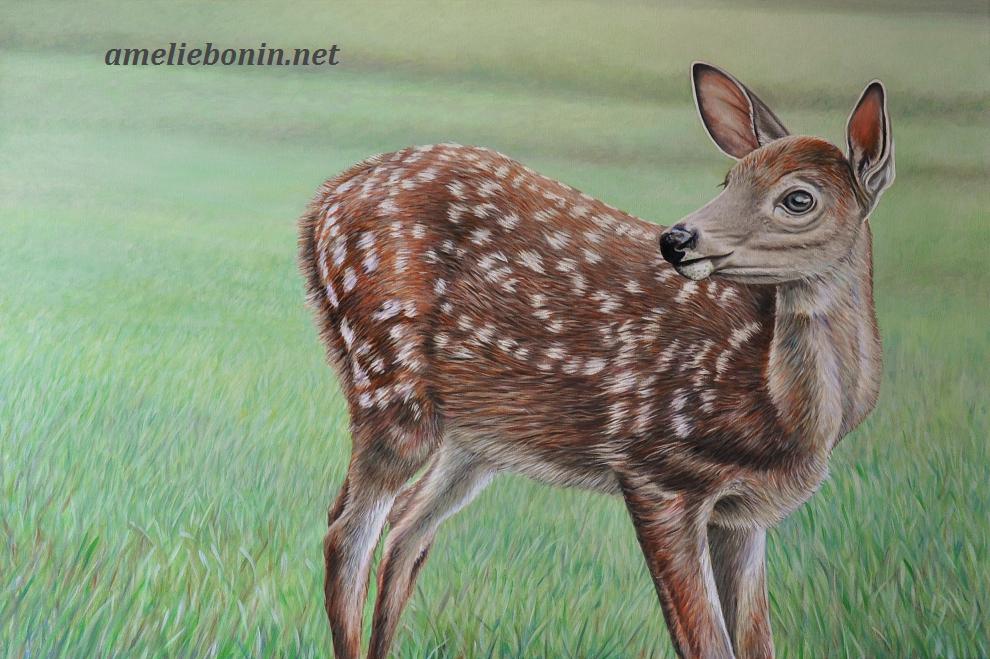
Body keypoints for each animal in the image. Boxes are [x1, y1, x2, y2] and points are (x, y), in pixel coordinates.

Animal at [297, 62, 894, 658]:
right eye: (729, 181)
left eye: (799, 199)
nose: (676, 239)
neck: (783, 410)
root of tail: (322, 201)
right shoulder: (658, 470)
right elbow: (706, 642)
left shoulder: (744, 517)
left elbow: (754, 641)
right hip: (388, 376)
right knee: (346, 534)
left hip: (475, 438)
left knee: (405, 526)